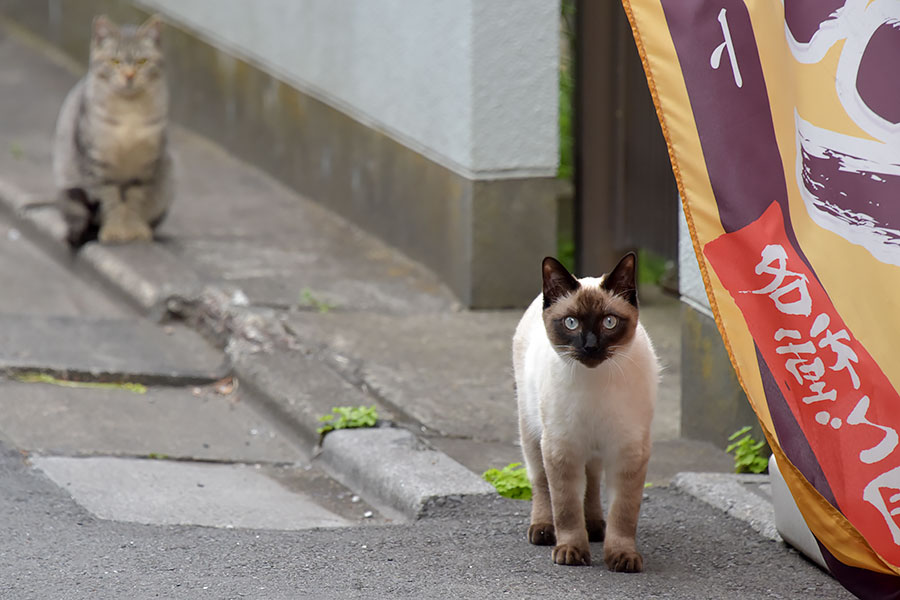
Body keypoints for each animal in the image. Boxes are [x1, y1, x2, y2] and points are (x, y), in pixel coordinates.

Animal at [512, 253, 660, 572]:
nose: (590, 347)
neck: (595, 384)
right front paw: (570, 551)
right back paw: (544, 530)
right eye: (571, 323)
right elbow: (565, 508)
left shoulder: (628, 453)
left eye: (609, 322)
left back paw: (594, 527)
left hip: (592, 450)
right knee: (541, 483)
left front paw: (622, 557)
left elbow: (623, 514)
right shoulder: (561, 449)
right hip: (533, 435)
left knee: (591, 482)